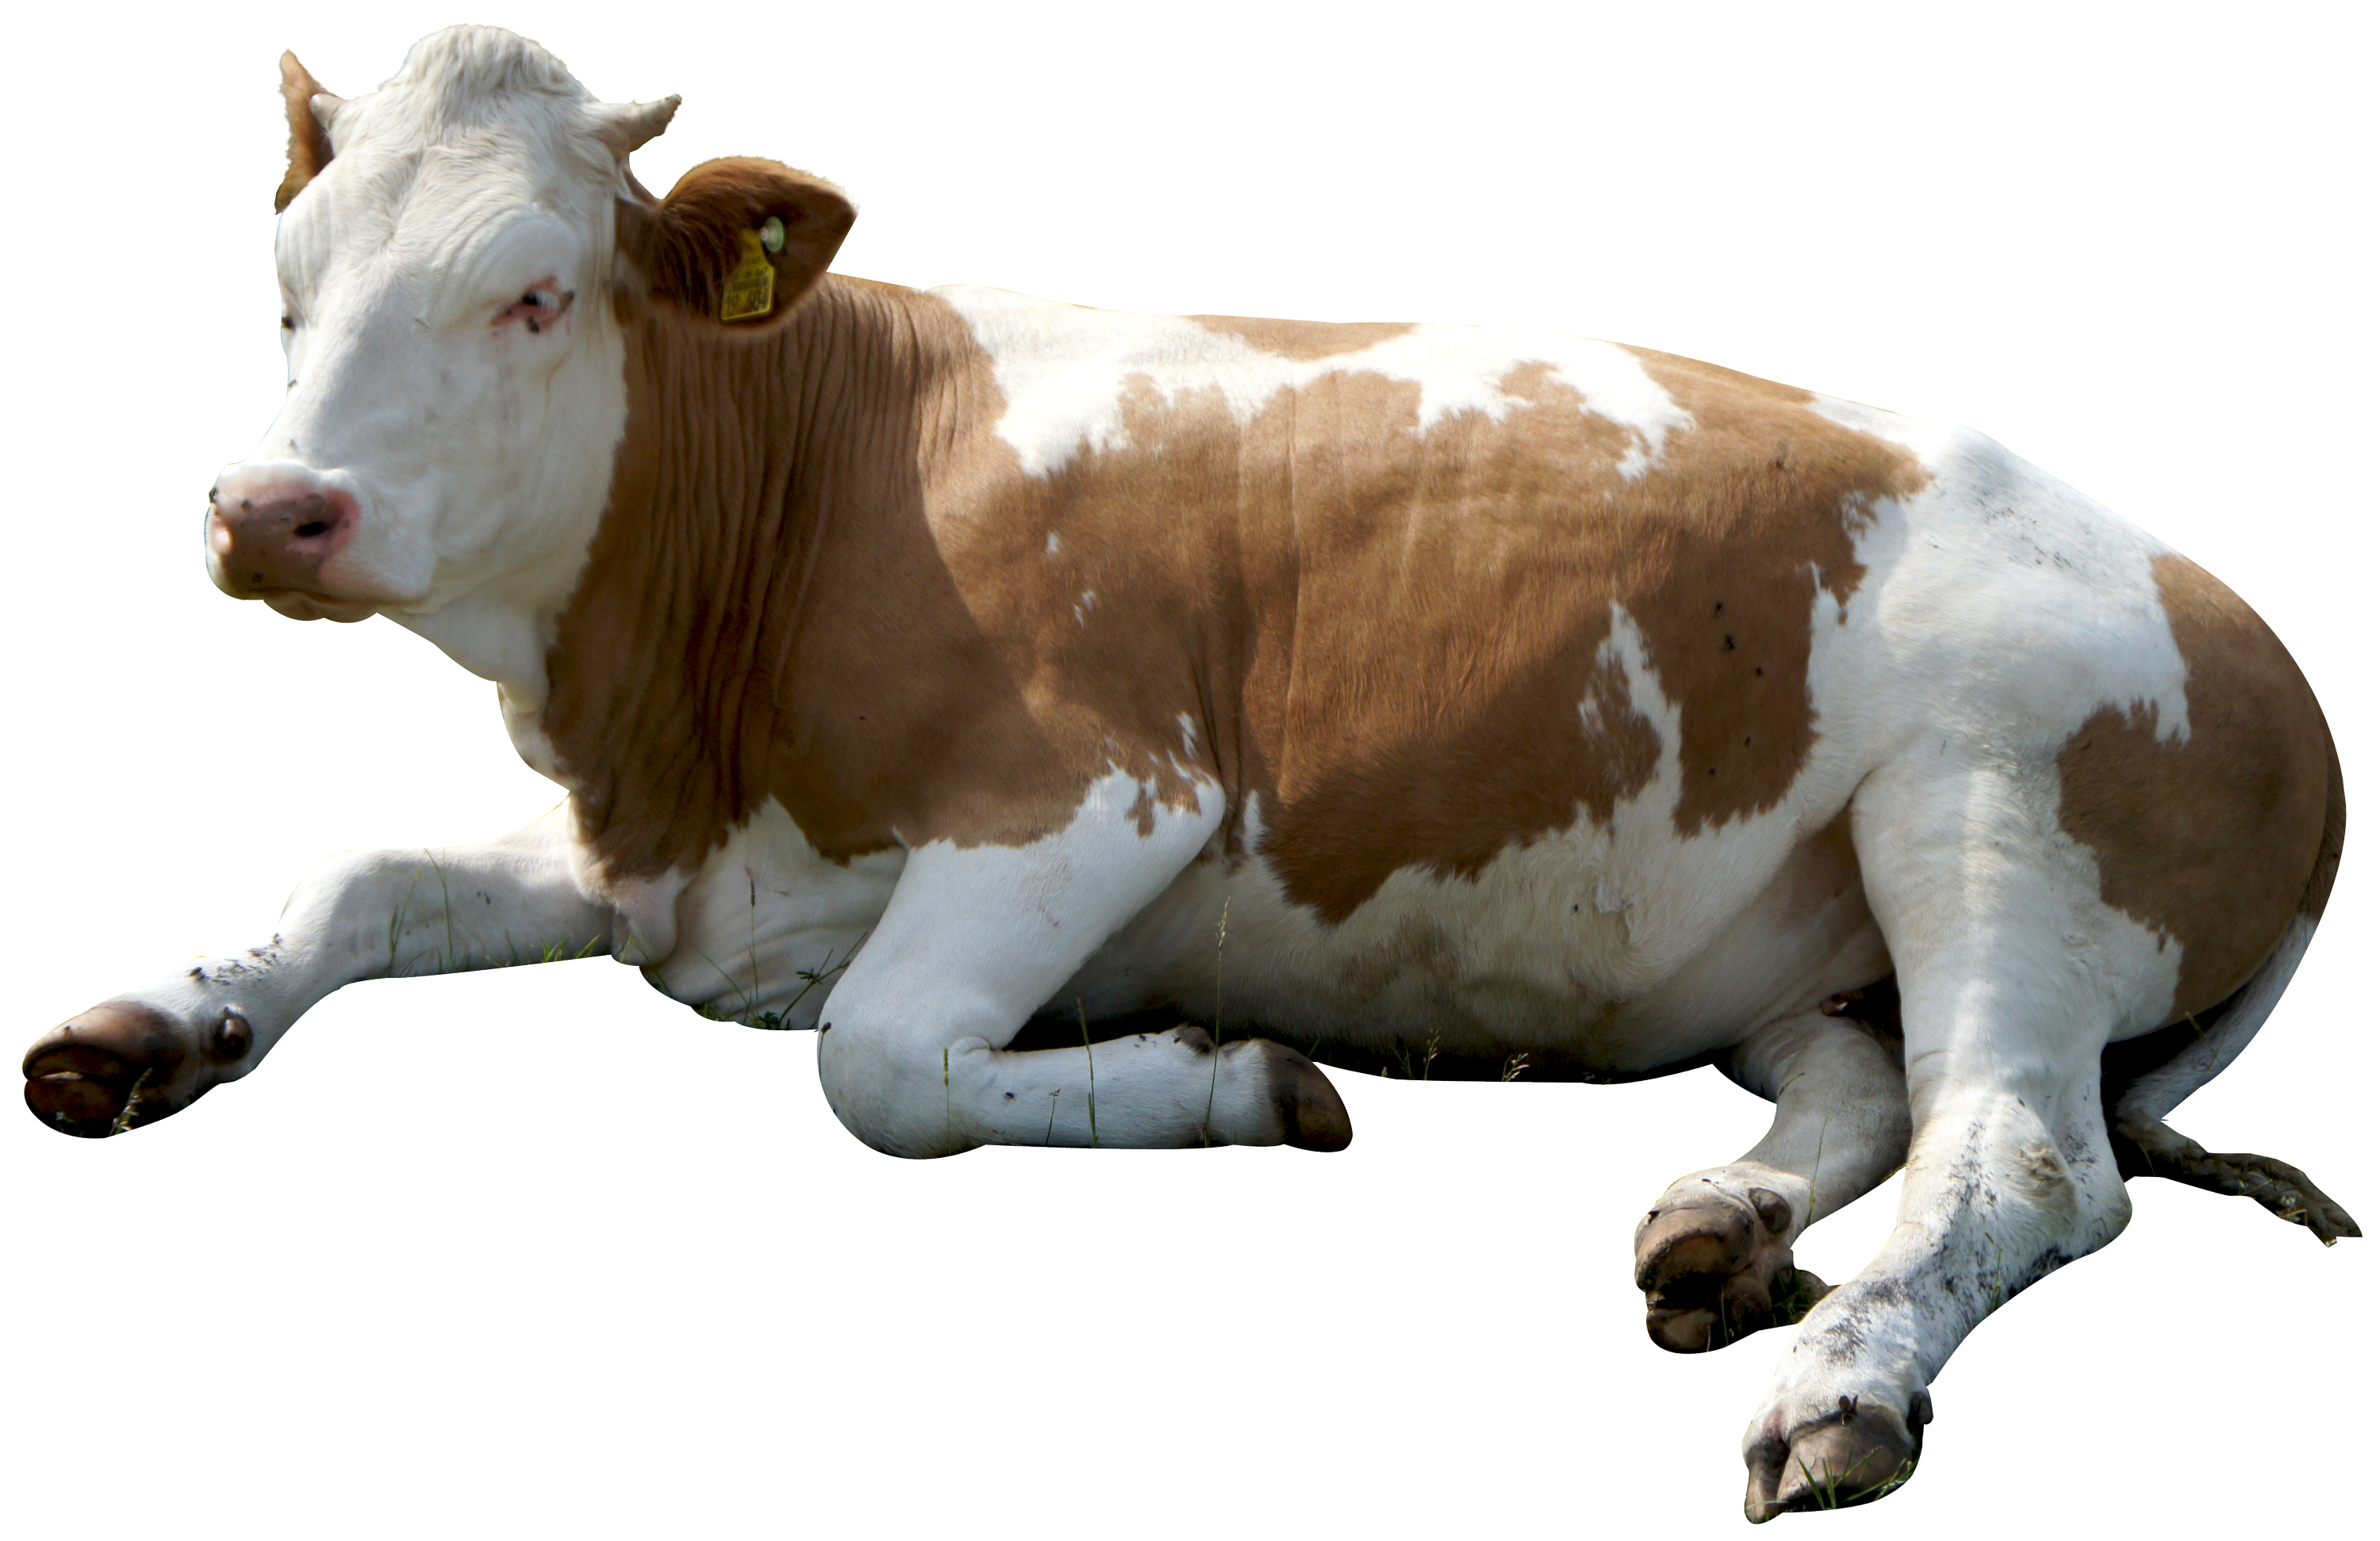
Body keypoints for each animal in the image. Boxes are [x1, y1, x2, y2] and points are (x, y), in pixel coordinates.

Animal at [22, 24, 2352, 1520]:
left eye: (529, 294)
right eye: (287, 286)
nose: (269, 509)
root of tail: (2257, 642)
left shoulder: (1106, 793)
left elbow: (876, 1060)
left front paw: (1235, 1078)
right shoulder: (681, 855)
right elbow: (357, 874)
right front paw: (143, 1022)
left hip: (1995, 800)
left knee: (2025, 1155)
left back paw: (1843, 1375)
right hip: (1808, 924)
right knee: (1868, 1087)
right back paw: (1716, 1226)